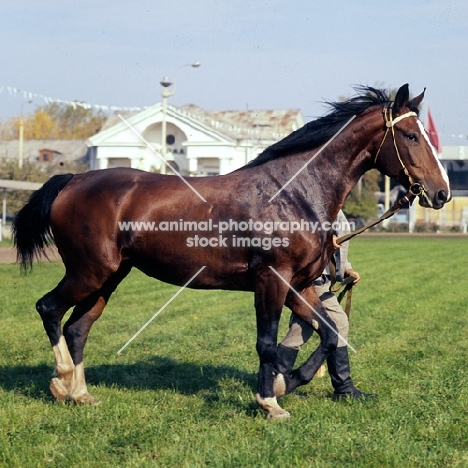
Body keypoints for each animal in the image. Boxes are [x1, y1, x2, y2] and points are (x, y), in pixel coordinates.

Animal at [11, 83, 450, 416]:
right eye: (411, 136)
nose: (442, 193)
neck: (291, 193)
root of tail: (72, 180)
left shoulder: (300, 284)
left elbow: (326, 333)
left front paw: (287, 382)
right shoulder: (271, 281)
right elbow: (267, 343)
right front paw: (270, 402)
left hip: (110, 277)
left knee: (78, 327)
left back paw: (80, 394)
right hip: (89, 272)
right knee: (49, 308)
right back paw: (62, 381)